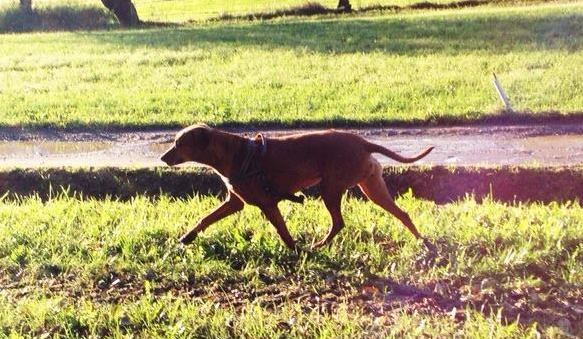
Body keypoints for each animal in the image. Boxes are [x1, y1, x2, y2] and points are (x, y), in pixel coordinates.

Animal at [160, 123, 434, 251]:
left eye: (179, 144)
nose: (162, 158)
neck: (237, 154)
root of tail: (363, 142)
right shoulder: (234, 203)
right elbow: (205, 219)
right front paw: (187, 237)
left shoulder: (268, 203)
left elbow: (282, 231)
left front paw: (294, 251)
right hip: (372, 187)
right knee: (402, 214)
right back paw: (423, 242)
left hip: (331, 189)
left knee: (338, 222)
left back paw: (319, 245)